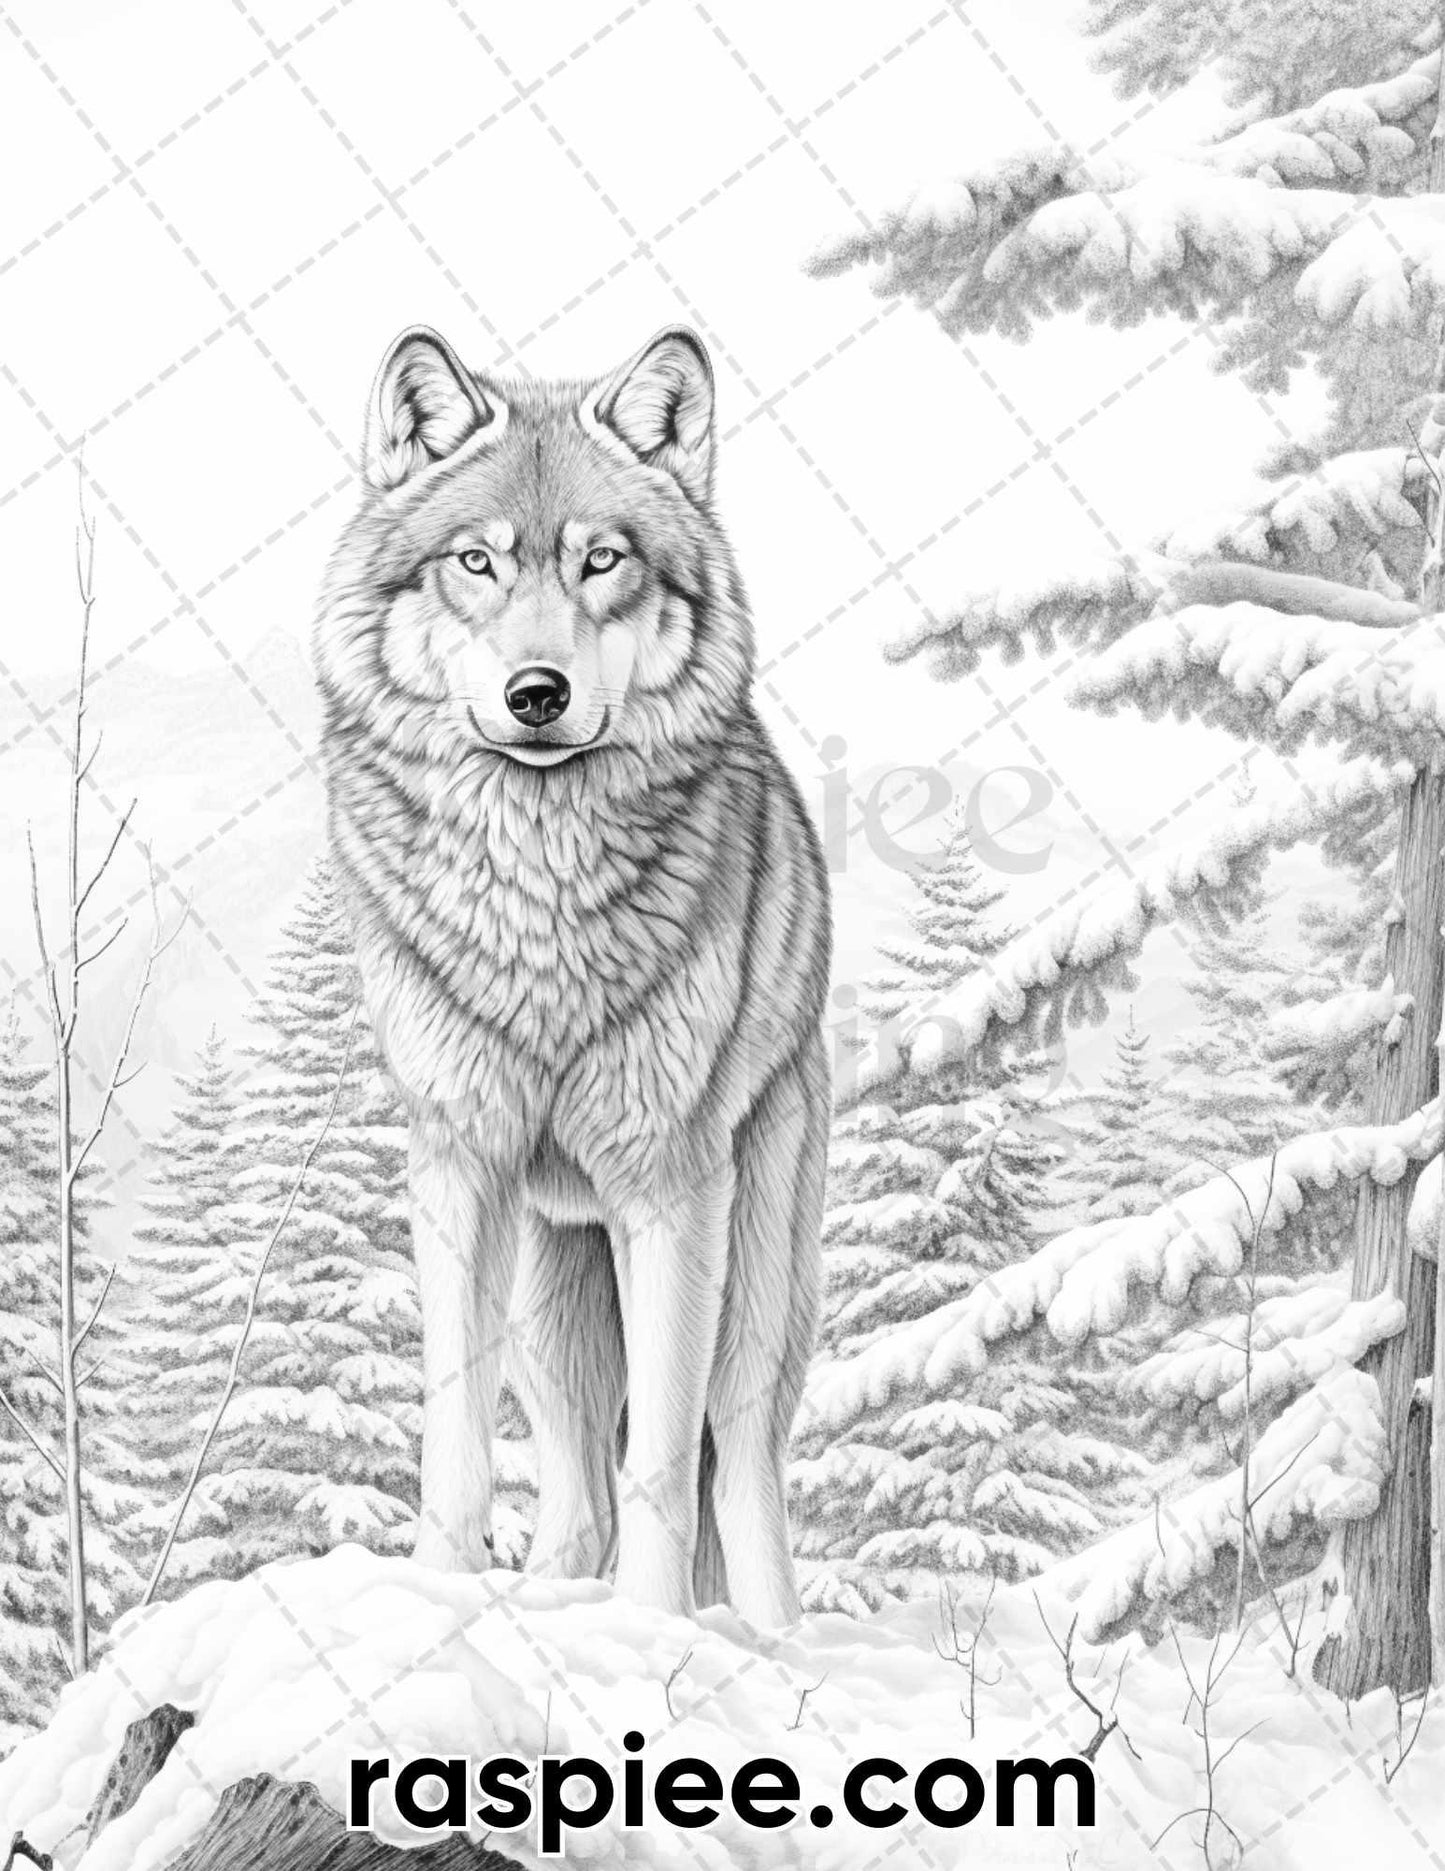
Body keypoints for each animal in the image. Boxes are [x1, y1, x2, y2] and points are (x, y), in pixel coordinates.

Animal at [313, 323, 832, 1625]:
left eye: (602, 561)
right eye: (476, 562)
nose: (535, 693)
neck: (535, 892)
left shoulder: (672, 1181)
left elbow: (665, 1457)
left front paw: (652, 1630)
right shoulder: (459, 1164)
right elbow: (454, 1428)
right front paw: (436, 1597)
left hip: (755, 1280)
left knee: (733, 1459)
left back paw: (762, 1631)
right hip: (553, 1300)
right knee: (576, 1472)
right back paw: (550, 1592)